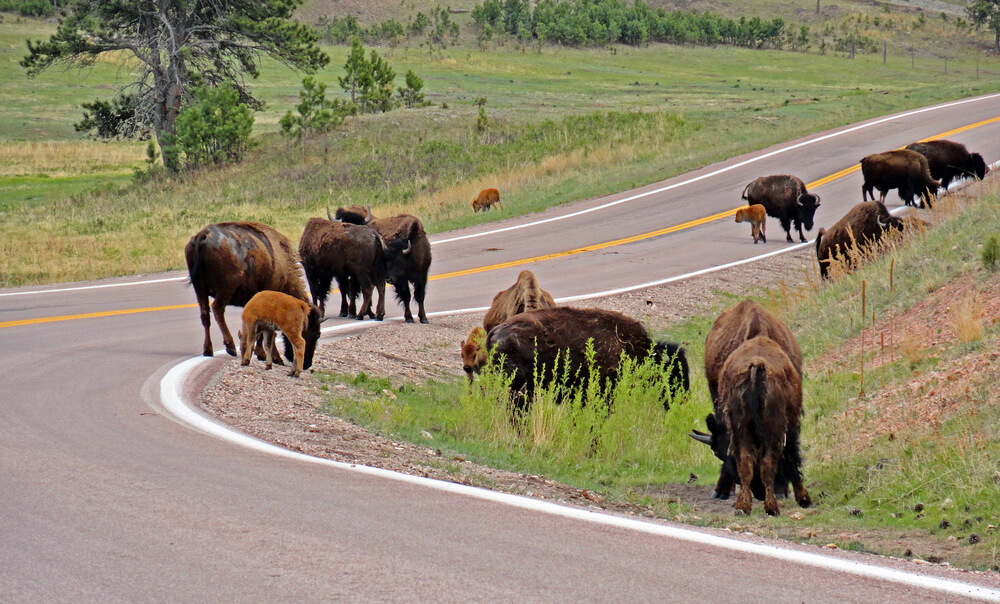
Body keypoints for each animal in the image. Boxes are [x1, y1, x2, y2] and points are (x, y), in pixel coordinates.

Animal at [185, 221, 311, 360]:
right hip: (225, 289)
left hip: (200, 288)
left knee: (205, 314)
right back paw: (231, 347)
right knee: (217, 309)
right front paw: (265, 355)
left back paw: (208, 350)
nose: (306, 360)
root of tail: (203, 236)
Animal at [718, 336, 811, 516]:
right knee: (769, 462)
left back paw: (743, 507)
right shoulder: (790, 429)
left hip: (740, 429)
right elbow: (792, 459)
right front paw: (804, 499)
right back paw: (772, 508)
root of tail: (757, 363)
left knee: (745, 461)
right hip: (775, 429)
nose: (758, 493)